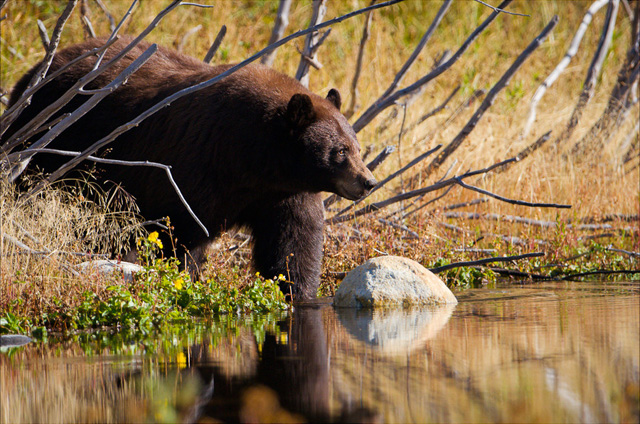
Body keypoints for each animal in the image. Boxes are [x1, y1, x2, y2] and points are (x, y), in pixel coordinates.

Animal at [5, 37, 376, 302]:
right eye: (340, 151)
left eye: (356, 146)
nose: (368, 182)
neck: (255, 160)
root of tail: (34, 71)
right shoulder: (196, 168)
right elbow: (181, 234)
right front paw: (180, 279)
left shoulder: (284, 193)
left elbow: (293, 242)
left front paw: (297, 289)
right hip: (53, 142)